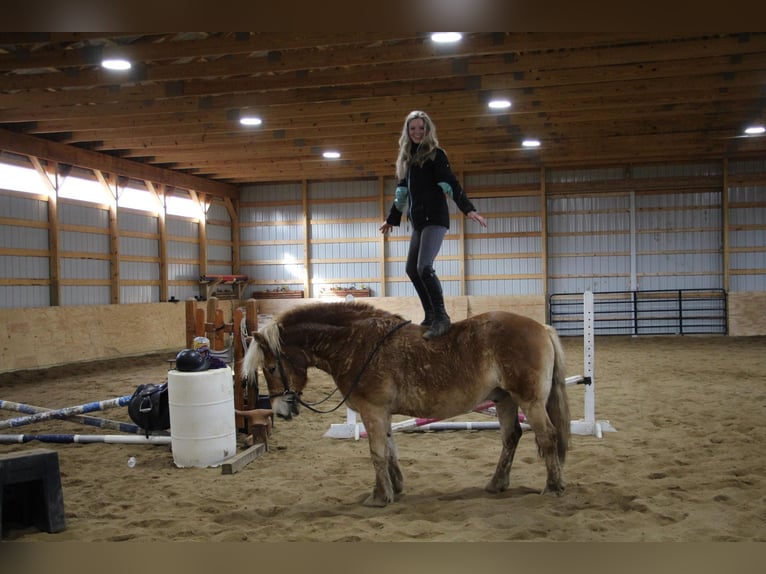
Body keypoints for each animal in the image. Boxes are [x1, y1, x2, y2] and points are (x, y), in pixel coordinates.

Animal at [243, 302, 572, 508]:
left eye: (270, 368)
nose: (280, 410)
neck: (354, 343)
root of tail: (541, 327)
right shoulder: (382, 413)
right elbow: (390, 450)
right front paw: (396, 487)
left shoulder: (372, 411)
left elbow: (376, 453)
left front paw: (379, 496)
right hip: (504, 399)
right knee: (511, 437)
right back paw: (497, 483)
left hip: (529, 401)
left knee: (547, 436)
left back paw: (553, 487)